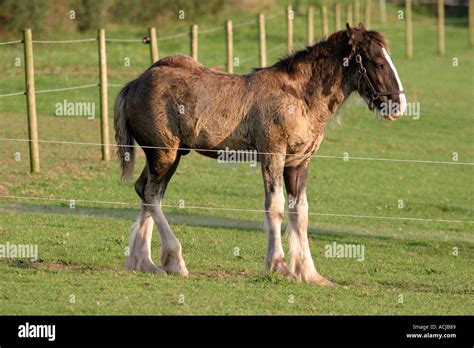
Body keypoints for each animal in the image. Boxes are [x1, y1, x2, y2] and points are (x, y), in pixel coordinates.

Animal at [114, 23, 404, 284]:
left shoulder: (299, 162)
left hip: (168, 155)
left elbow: (300, 212)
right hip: (164, 153)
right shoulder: (272, 154)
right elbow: (275, 207)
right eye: (378, 63)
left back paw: (143, 262)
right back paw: (174, 261)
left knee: (146, 191)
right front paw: (279, 266)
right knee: (152, 194)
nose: (398, 105)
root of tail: (135, 83)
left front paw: (309, 273)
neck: (299, 98)